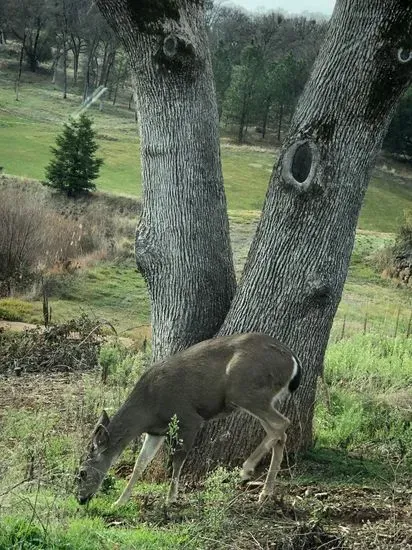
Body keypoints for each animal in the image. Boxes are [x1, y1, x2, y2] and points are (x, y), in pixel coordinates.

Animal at [76, 332, 302, 508]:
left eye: (82, 473)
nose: (80, 499)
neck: (148, 407)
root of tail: (293, 360)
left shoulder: (189, 418)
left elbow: (178, 460)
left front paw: (171, 498)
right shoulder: (156, 431)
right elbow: (140, 463)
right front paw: (120, 502)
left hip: (245, 390)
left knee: (282, 423)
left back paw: (246, 470)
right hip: (260, 398)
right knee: (278, 432)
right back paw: (265, 492)